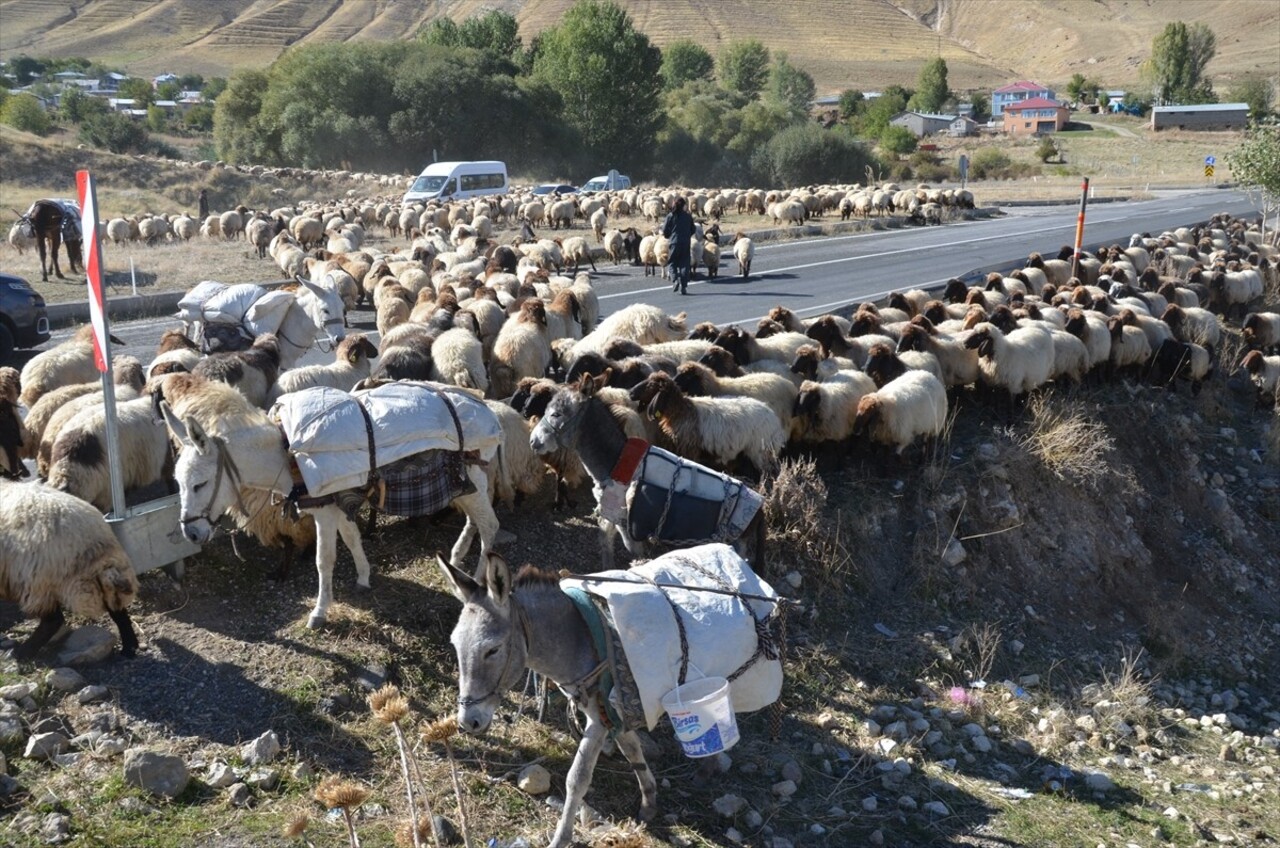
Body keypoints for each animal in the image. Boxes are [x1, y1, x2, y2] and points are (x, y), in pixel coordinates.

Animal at [0, 481, 140, 660]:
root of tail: (95, 543)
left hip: (36, 580)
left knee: (53, 621)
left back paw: (21, 652)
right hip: (101, 579)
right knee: (116, 608)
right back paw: (129, 647)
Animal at [154, 379, 499, 630]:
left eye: (199, 484)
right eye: (179, 482)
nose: (191, 534)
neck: (287, 455)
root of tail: (485, 408)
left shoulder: (325, 512)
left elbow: (324, 560)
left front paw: (319, 612)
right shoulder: (340, 505)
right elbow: (353, 539)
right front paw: (363, 579)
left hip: (469, 478)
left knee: (490, 525)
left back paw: (479, 581)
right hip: (467, 484)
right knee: (477, 520)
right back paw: (456, 558)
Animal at [527, 374, 762, 568]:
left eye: (556, 414)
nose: (533, 441)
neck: (616, 460)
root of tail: (758, 509)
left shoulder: (629, 526)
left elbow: (634, 552)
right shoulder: (611, 514)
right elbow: (605, 544)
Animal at [627, 371, 783, 479]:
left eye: (651, 385)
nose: (631, 393)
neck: (681, 411)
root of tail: (774, 419)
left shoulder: (689, 449)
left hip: (760, 452)